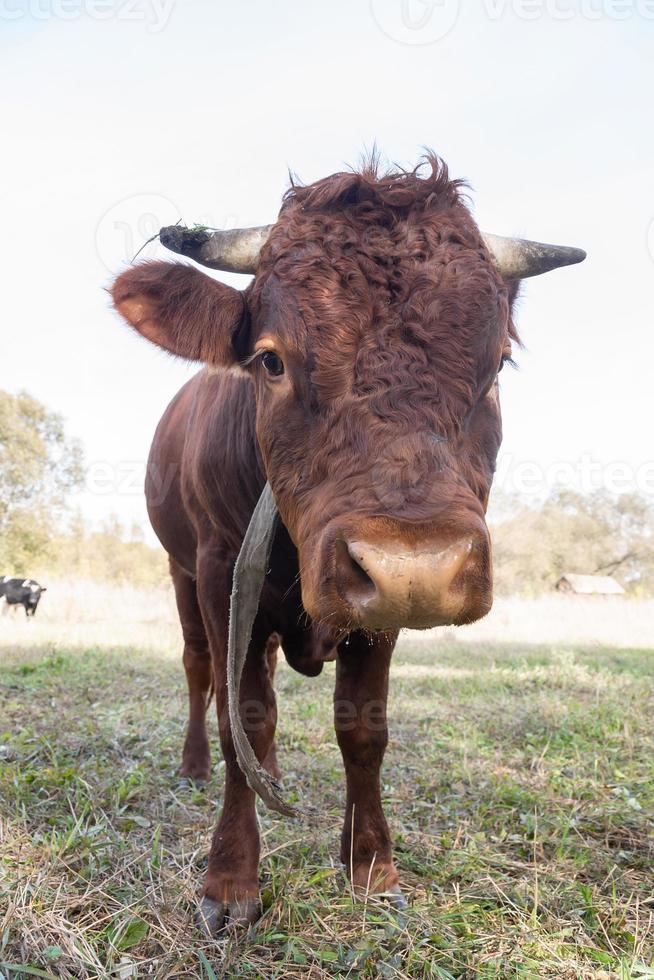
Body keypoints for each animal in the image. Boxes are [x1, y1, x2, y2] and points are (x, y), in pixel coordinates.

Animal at [110, 153, 588, 936]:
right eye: (270, 361)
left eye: (496, 365)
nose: (415, 565)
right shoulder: (219, 572)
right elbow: (240, 715)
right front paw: (230, 880)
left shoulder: (379, 613)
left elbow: (362, 729)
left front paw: (369, 865)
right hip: (181, 574)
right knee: (202, 672)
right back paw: (194, 765)